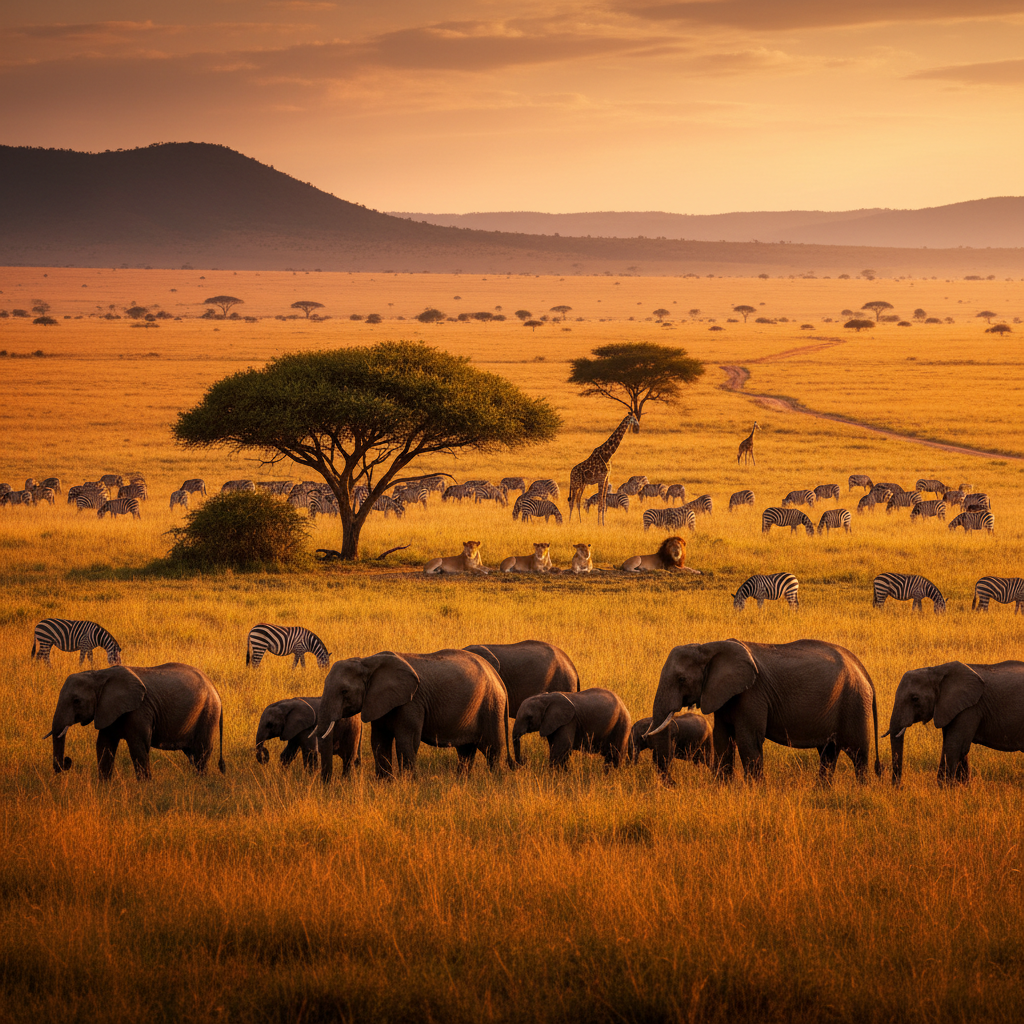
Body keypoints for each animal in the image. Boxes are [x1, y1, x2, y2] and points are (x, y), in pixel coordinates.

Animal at [45, 663, 224, 780]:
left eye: (76, 701)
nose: (67, 761)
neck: (99, 675)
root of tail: (214, 688)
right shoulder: (108, 708)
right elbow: (104, 745)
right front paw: (104, 787)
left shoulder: (139, 710)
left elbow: (138, 746)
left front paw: (145, 788)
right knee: (192, 754)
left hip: (208, 713)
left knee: (201, 752)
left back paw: (200, 781)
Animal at [315, 649, 510, 780]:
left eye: (344, 692)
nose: (328, 784)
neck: (367, 662)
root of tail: (497, 676)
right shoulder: (378, 701)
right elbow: (379, 742)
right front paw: (384, 784)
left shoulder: (412, 702)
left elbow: (406, 741)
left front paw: (407, 784)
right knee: (465, 751)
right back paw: (462, 782)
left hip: (491, 705)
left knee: (492, 749)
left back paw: (495, 781)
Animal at [648, 639, 880, 782]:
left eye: (681, 679)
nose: (673, 783)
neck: (708, 647)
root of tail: (863, 670)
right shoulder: (722, 694)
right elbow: (722, 739)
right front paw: (723, 789)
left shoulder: (752, 693)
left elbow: (747, 740)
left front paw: (754, 792)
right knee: (828, 753)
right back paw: (821, 792)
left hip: (854, 702)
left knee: (858, 753)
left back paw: (861, 790)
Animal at [885, 660, 1024, 785]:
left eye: (915, 699)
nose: (898, 787)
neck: (936, 671)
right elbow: (954, 747)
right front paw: (961, 787)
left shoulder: (970, 708)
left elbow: (955, 746)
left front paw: (945, 788)